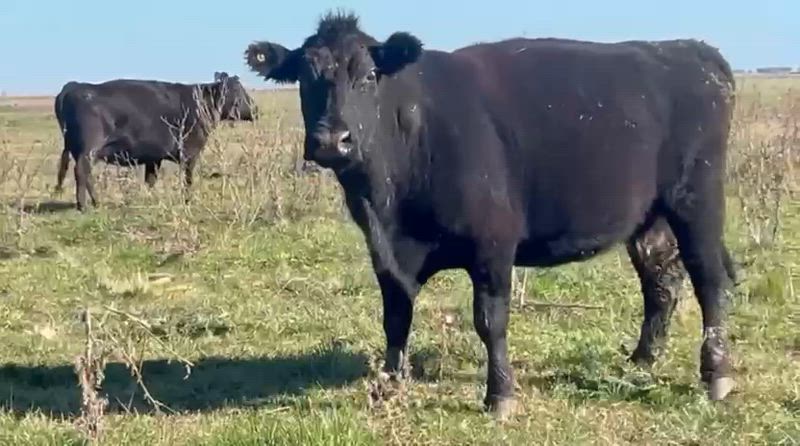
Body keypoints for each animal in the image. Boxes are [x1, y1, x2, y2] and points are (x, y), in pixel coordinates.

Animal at [54, 72, 257, 210]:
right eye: (237, 91)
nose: (255, 109)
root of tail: (75, 86)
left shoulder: (153, 157)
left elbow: (150, 179)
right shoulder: (190, 153)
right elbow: (188, 179)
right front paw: (188, 200)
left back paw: (95, 202)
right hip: (89, 148)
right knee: (82, 171)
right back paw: (85, 205)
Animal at [244, 12, 738, 418]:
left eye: (367, 75)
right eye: (304, 78)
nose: (332, 140)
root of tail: (690, 49)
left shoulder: (494, 244)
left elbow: (490, 321)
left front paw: (499, 395)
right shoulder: (384, 253)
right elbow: (395, 316)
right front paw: (389, 385)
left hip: (697, 199)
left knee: (710, 280)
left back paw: (717, 374)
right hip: (650, 217)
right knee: (662, 281)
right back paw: (642, 359)